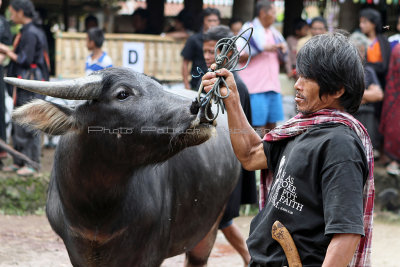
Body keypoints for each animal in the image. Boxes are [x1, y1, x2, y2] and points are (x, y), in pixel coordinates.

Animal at [5, 67, 241, 267]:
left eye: (157, 86)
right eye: (122, 94)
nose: (202, 107)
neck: (96, 212)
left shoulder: (150, 253)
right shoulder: (77, 251)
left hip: (211, 225)